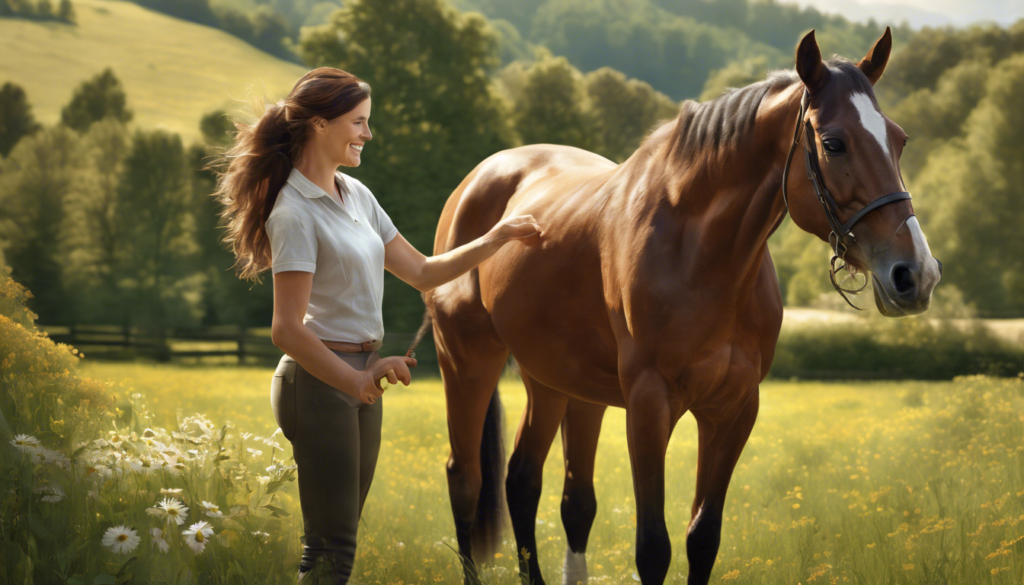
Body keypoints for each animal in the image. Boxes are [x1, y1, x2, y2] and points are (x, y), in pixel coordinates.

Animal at [414, 27, 942, 584]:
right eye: (834, 143)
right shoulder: (649, 406)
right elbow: (653, 548)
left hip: (556, 380)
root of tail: (478, 180)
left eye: (899, 139)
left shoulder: (734, 409)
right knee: (466, 479)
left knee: (531, 484)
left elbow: (702, 537)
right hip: (467, 360)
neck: (700, 255)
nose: (916, 274)